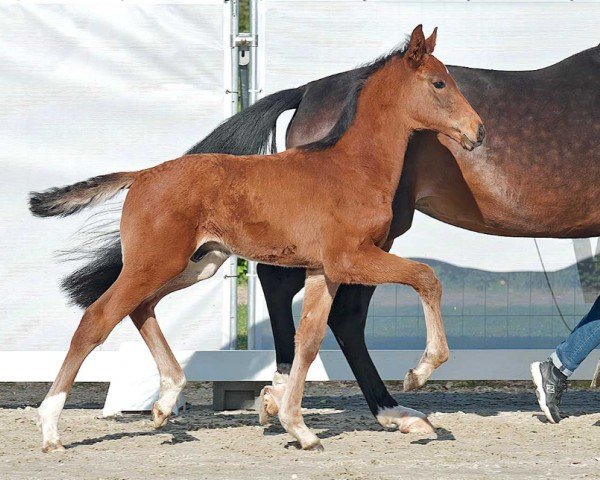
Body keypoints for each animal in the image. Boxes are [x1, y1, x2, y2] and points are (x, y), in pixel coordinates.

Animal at [31, 26, 482, 452]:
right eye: (439, 83)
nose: (477, 132)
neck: (353, 167)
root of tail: (140, 175)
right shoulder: (351, 259)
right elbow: (426, 277)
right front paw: (419, 372)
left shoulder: (323, 270)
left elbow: (308, 341)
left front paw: (299, 429)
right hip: (155, 263)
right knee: (96, 319)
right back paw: (51, 429)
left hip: (197, 264)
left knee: (141, 307)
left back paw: (164, 402)